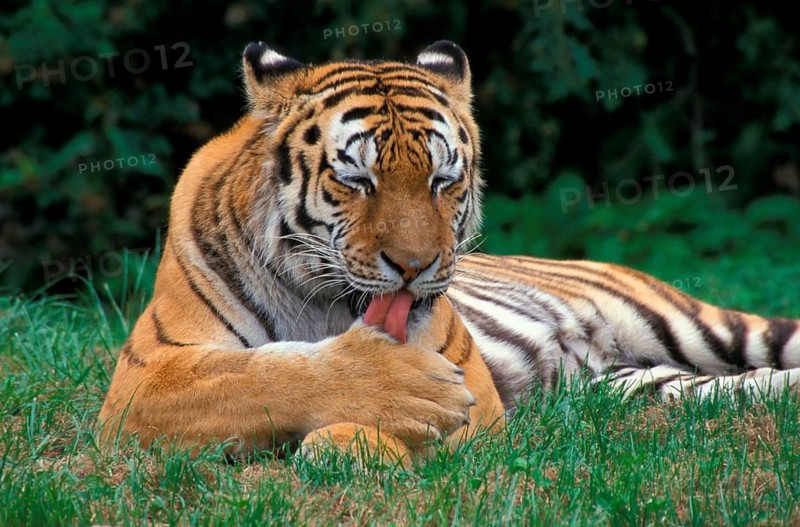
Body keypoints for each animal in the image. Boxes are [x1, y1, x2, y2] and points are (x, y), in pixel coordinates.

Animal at [98, 40, 800, 466]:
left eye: (442, 180)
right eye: (358, 179)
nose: (415, 267)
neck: (320, 304)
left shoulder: (480, 404)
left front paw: (350, 440)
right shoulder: (143, 380)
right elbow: (264, 375)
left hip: (694, 324)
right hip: (647, 386)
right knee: (747, 388)